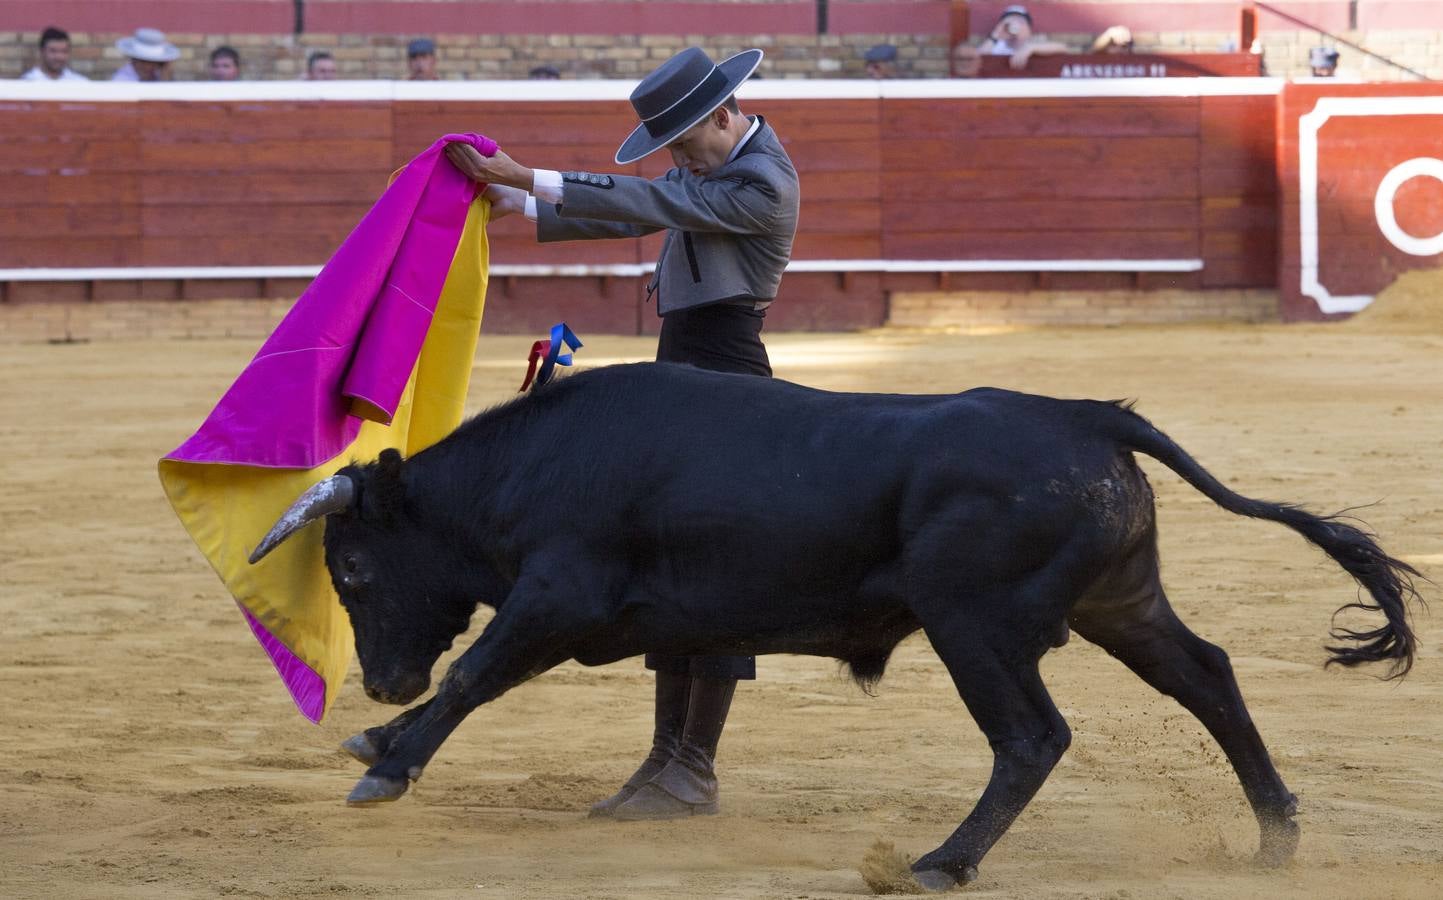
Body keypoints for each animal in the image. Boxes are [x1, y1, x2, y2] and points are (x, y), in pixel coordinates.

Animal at [251, 362, 1419, 888]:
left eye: (352, 569)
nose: (380, 683)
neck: (529, 468)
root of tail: (1087, 417)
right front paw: (382, 737)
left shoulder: (557, 598)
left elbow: (477, 673)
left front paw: (384, 760)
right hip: (1118, 604)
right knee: (1208, 676)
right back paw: (1275, 834)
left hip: (974, 624)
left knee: (1032, 738)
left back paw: (941, 863)